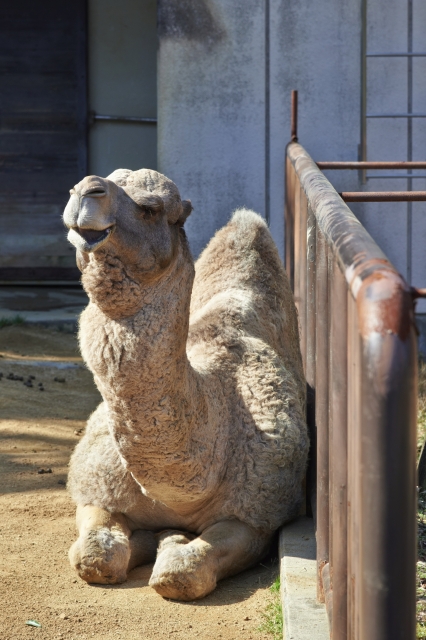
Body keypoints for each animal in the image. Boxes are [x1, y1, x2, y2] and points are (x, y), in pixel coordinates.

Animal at [63, 169, 308, 600]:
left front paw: (170, 540)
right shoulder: (97, 489)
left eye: (150, 208)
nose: (86, 190)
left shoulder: (256, 516)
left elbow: (181, 573)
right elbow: (94, 556)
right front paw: (152, 538)